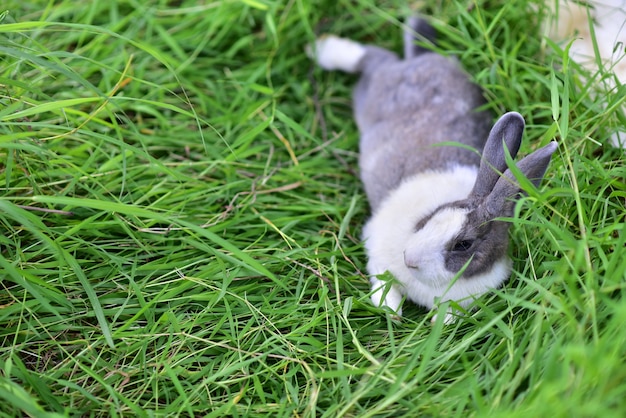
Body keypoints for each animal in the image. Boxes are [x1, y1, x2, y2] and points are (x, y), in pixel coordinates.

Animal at [310, 16, 556, 320]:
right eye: (432, 217)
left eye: (463, 244)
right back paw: (323, 50)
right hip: (377, 86)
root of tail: (427, 57)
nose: (410, 259)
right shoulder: (376, 249)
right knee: (373, 59)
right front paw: (391, 310)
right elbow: (382, 280)